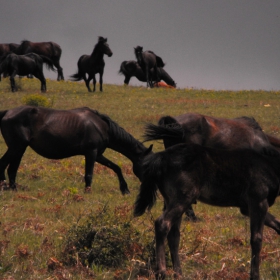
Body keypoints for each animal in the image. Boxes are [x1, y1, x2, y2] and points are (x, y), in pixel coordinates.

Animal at [0, 106, 151, 194]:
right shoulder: (91, 153)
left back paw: (13, 188)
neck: (101, 126)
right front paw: (87, 192)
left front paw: (125, 189)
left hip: (19, 149)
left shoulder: (98, 155)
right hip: (16, 147)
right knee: (5, 165)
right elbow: (89, 174)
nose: (148, 185)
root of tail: (7, 112)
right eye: (146, 166)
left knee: (12, 169)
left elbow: (116, 167)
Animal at [133, 143, 280, 278]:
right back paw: (162, 272)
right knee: (162, 223)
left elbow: (277, 225)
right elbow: (256, 239)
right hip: (183, 197)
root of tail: (161, 157)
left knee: (174, 234)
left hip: (171, 199)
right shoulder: (258, 202)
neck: (269, 165)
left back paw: (178, 273)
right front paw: (255, 275)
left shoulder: (246, 208)